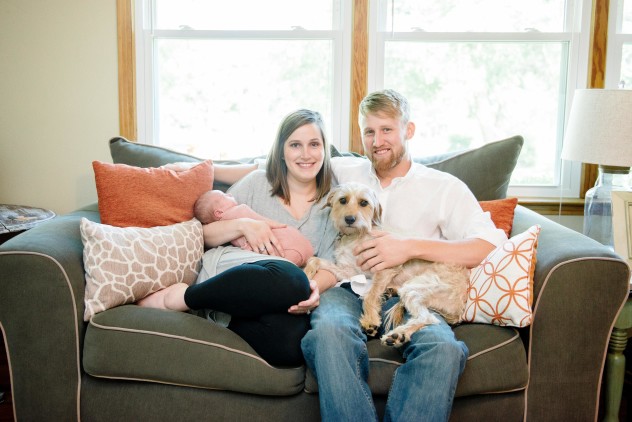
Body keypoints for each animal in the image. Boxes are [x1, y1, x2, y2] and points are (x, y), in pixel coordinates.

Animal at [304, 183, 472, 348]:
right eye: (343, 200)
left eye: (364, 203)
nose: (350, 219)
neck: (356, 236)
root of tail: (460, 307)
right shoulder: (349, 271)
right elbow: (314, 260)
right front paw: (306, 273)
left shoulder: (385, 266)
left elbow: (370, 295)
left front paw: (370, 320)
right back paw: (390, 293)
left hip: (417, 287)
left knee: (428, 318)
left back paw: (399, 335)